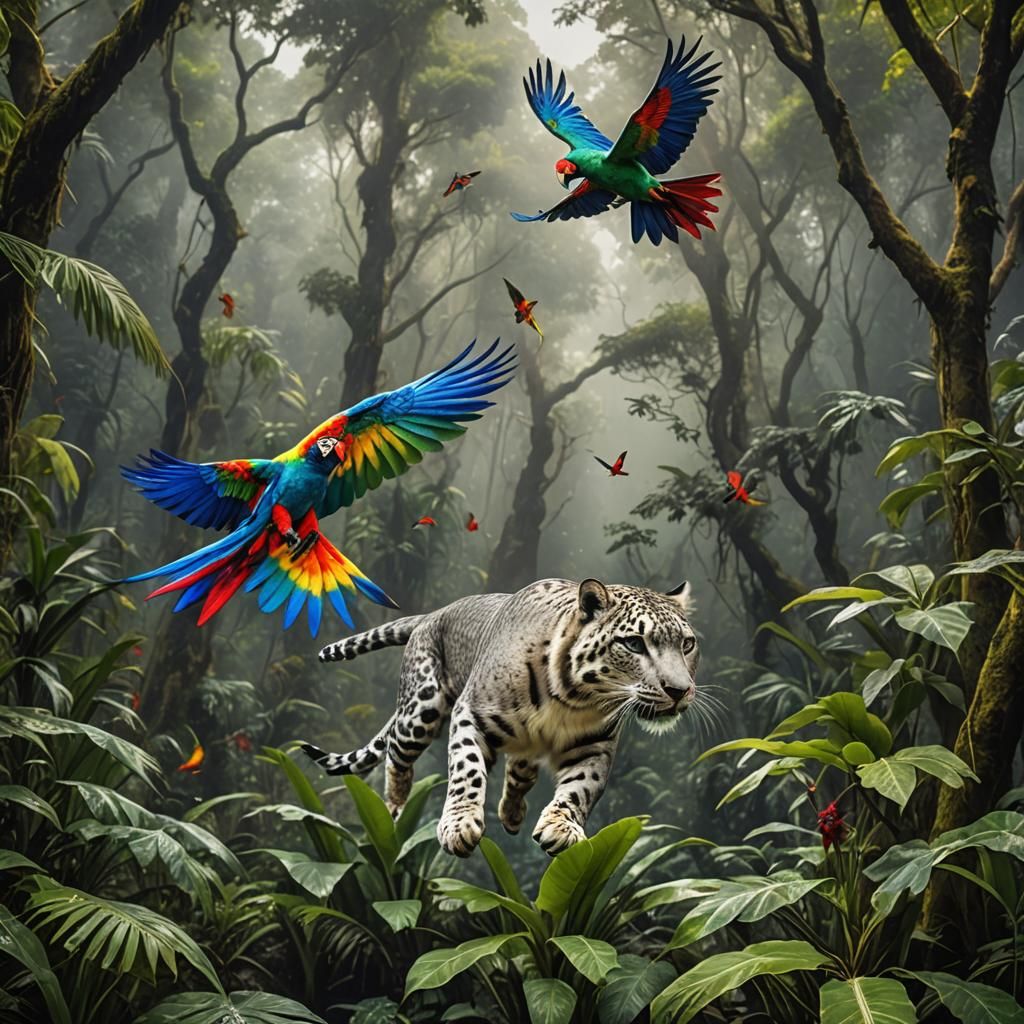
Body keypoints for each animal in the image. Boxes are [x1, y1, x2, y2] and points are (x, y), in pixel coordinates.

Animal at [301, 577, 699, 858]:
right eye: (634, 643)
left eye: (687, 644)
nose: (679, 690)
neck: (572, 698)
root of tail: (434, 613)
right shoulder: (471, 714)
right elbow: (467, 771)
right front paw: (458, 826)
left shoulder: (594, 744)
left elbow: (581, 787)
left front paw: (560, 826)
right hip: (421, 709)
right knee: (398, 752)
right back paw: (396, 805)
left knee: (520, 771)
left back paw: (512, 815)